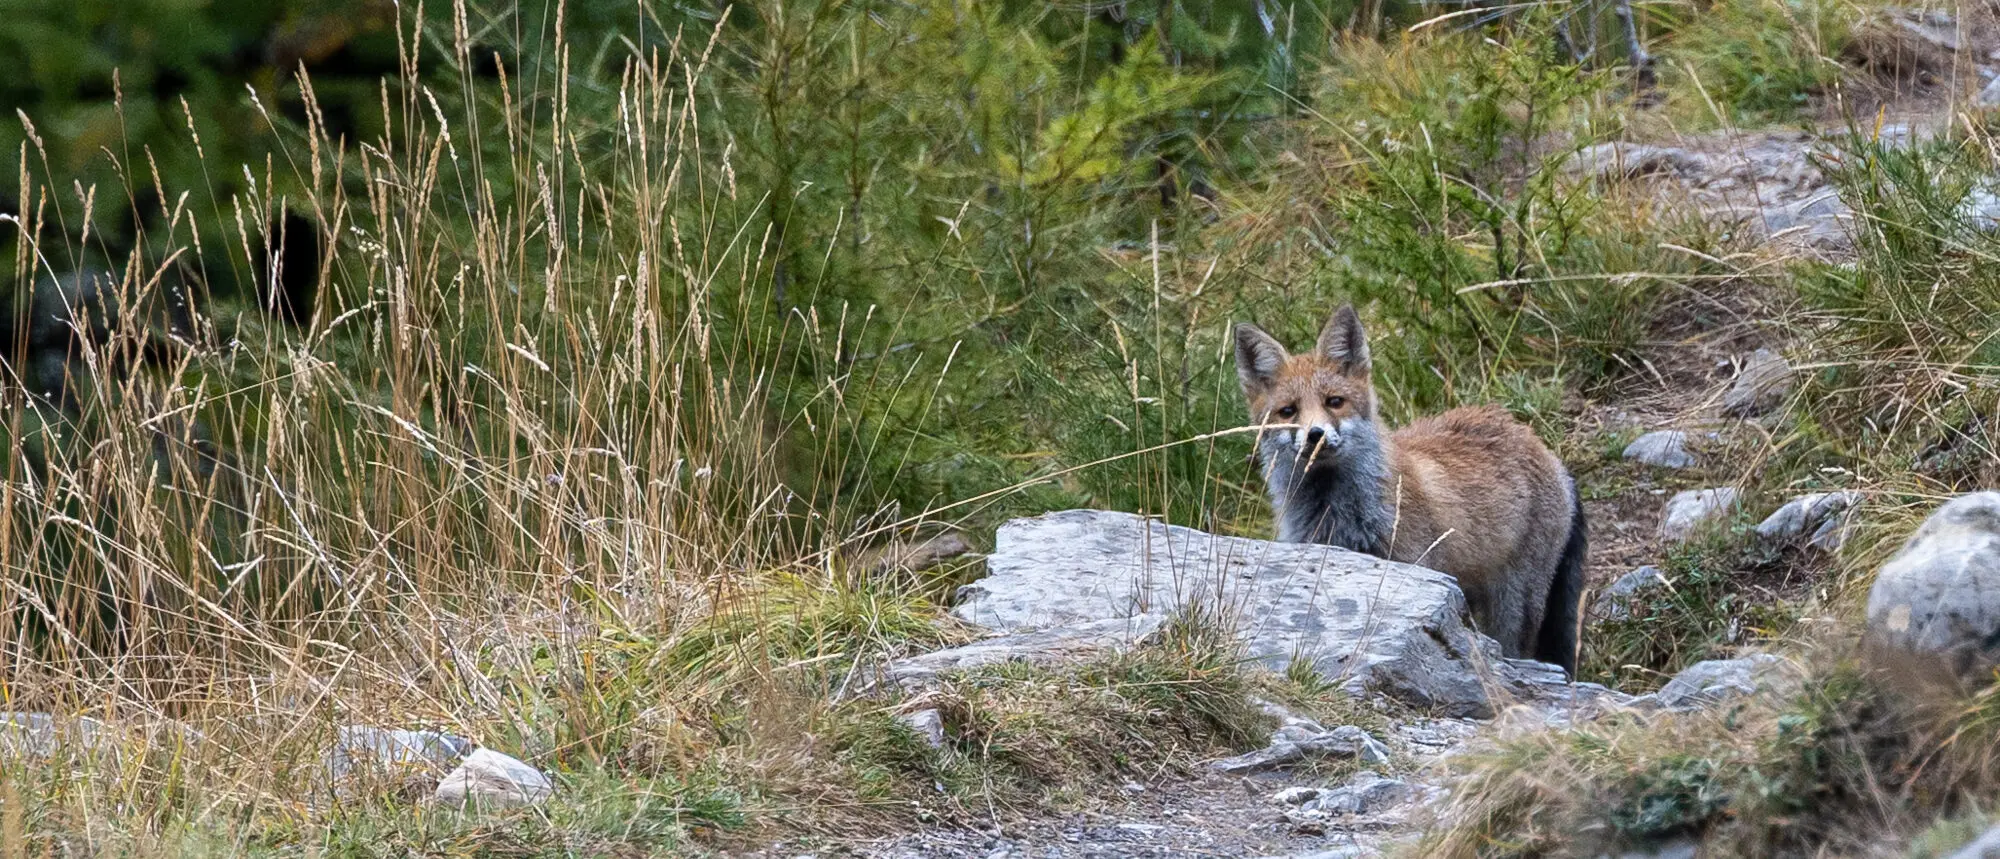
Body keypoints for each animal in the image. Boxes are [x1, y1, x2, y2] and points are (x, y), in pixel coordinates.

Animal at [1233, 304, 1587, 674]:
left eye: (1335, 402)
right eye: (1288, 411)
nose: (1315, 435)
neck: (1339, 514)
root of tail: (1540, 445)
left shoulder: (1412, 561)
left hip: (1514, 606)